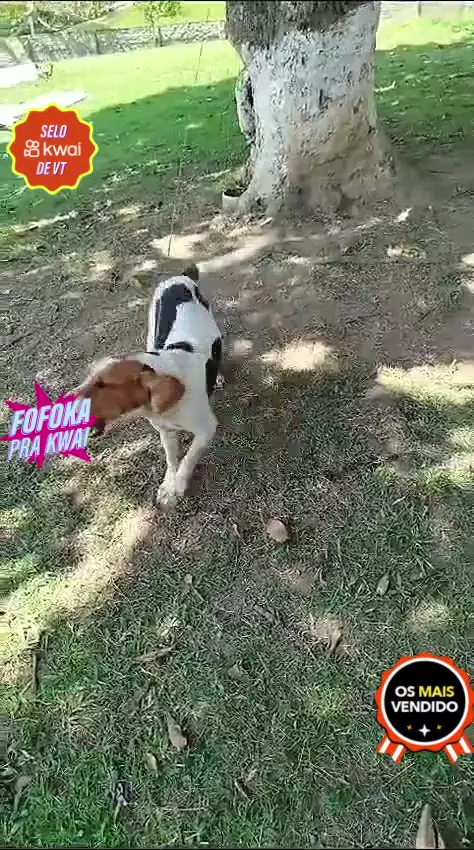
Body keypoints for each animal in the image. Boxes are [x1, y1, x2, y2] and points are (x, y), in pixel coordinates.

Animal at [77, 263, 222, 507]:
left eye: (102, 384)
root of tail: (180, 276)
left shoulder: (206, 429)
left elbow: (188, 458)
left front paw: (179, 485)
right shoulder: (166, 432)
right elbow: (172, 459)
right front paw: (168, 486)